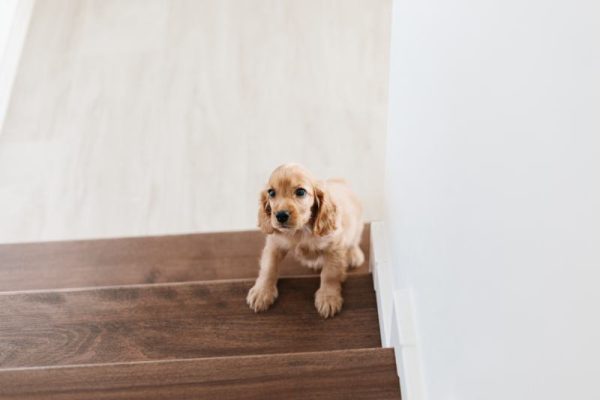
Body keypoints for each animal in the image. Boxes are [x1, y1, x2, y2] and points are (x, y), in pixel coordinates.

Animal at [245, 163, 366, 318]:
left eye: (300, 192)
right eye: (271, 193)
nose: (280, 215)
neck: (300, 231)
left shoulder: (335, 246)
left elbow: (330, 273)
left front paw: (328, 297)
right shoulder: (274, 244)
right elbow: (268, 267)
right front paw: (262, 292)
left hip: (358, 224)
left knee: (354, 240)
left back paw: (353, 255)